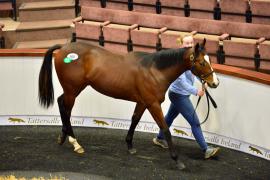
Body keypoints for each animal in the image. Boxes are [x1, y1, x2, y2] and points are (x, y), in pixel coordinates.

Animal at [38, 38, 219, 169]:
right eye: (202, 62)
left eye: (210, 60)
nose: (215, 83)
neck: (154, 70)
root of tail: (63, 47)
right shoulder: (153, 104)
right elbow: (165, 128)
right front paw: (177, 160)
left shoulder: (142, 102)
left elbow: (134, 120)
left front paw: (130, 145)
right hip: (72, 91)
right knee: (66, 109)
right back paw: (75, 143)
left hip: (73, 90)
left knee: (61, 104)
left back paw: (63, 137)